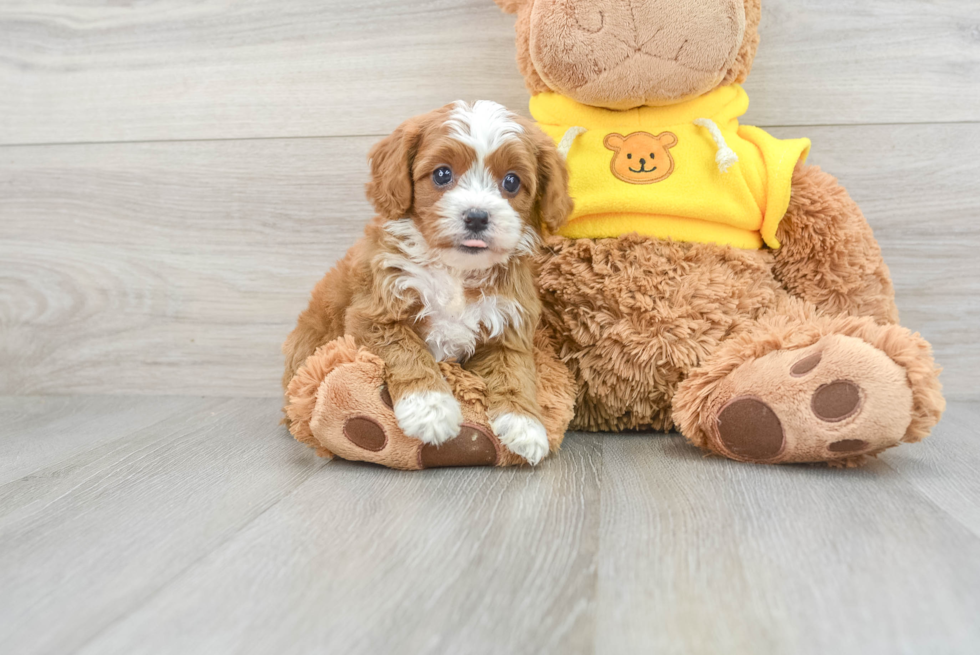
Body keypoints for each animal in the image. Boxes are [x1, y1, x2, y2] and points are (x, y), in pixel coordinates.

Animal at [284, 98, 572, 466]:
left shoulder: (507, 324)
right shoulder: (375, 313)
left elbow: (515, 373)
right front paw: (430, 410)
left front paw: (526, 427)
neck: (456, 270)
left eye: (511, 182)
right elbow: (408, 351)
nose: (476, 216)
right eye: (442, 174)